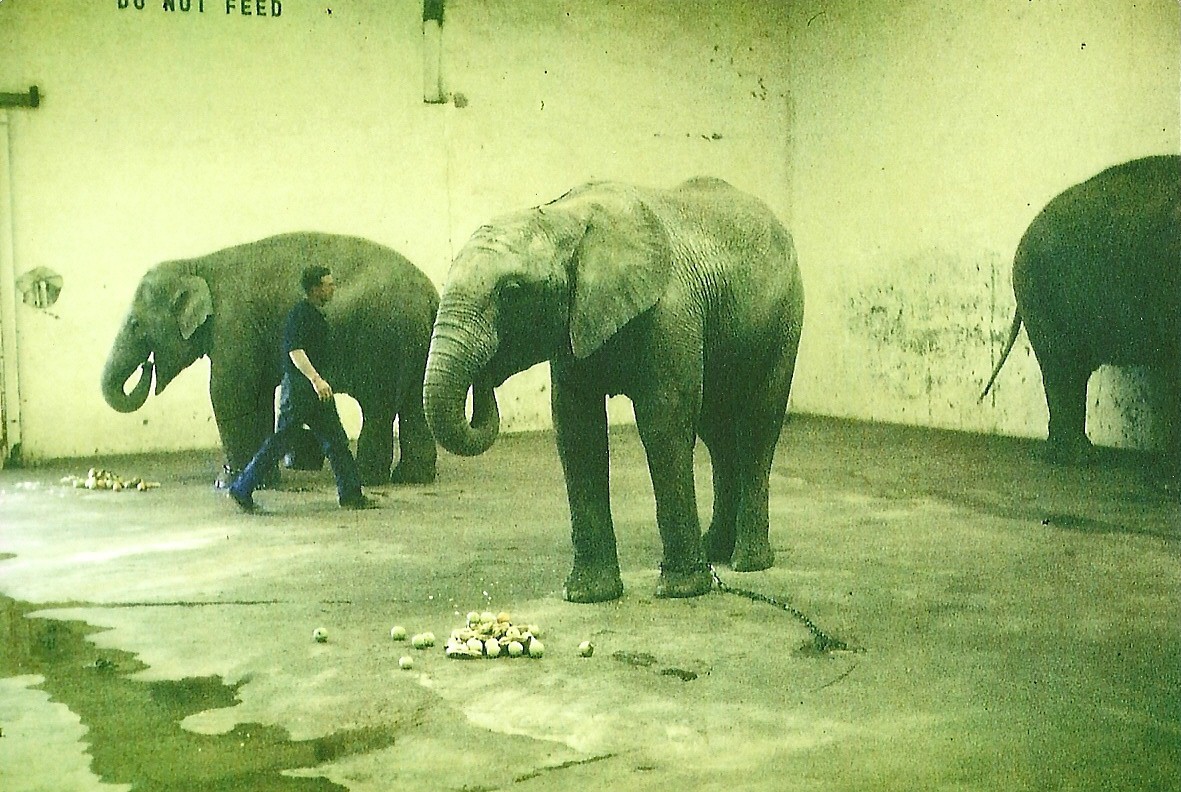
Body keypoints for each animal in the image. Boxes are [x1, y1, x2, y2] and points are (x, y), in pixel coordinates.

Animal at [101, 232, 439, 487]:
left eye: (135, 324)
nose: (147, 365)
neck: (196, 264)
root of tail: (431, 295)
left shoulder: (234, 323)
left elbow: (229, 393)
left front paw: (226, 483)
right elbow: (257, 395)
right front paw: (262, 479)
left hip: (384, 340)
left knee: (378, 407)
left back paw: (371, 478)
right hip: (416, 345)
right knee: (413, 404)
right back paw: (411, 477)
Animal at [423, 177, 805, 603]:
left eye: (512, 291)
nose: (486, 375)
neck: (565, 220)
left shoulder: (671, 312)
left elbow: (663, 422)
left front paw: (680, 589)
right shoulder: (573, 326)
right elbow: (577, 431)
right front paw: (588, 595)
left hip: (785, 317)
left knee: (757, 426)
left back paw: (747, 562)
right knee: (718, 434)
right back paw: (716, 552)